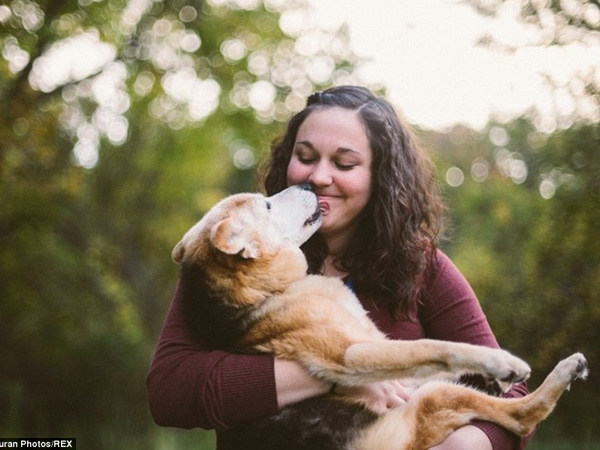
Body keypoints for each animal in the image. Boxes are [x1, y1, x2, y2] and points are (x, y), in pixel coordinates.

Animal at [172, 184, 584, 450]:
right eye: (267, 206)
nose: (307, 182)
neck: (267, 290)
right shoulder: (352, 355)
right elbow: (432, 347)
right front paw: (497, 363)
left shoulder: (375, 339)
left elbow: (424, 360)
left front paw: (489, 375)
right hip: (431, 402)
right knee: (522, 415)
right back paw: (560, 371)